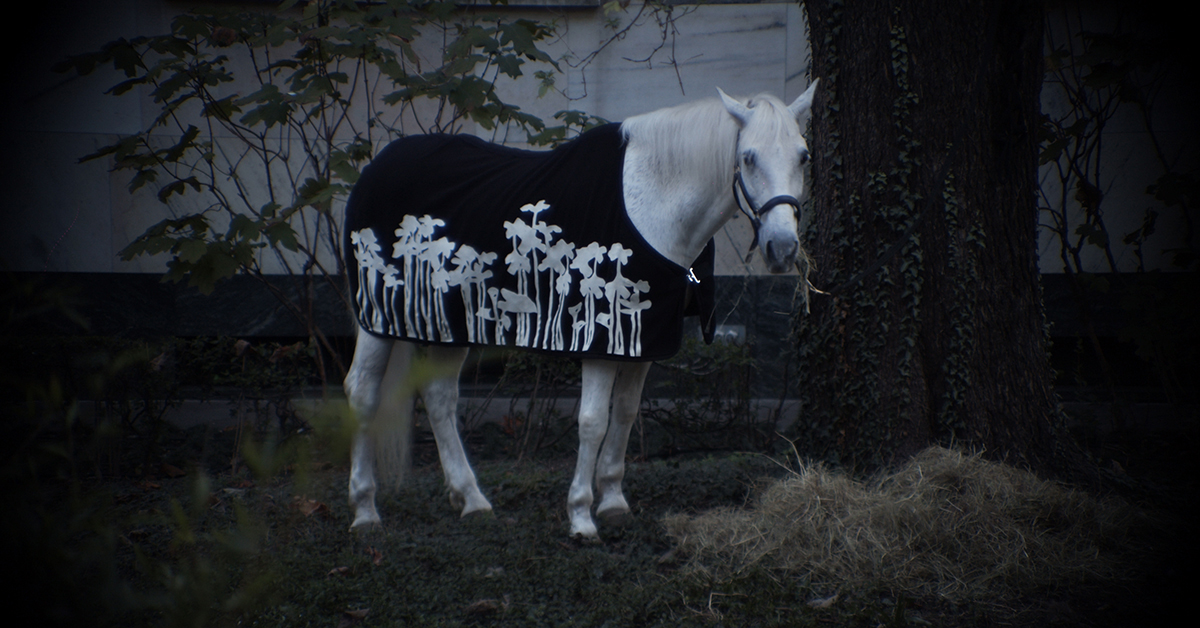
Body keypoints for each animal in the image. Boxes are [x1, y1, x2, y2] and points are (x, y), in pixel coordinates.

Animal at [343, 81, 820, 537]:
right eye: (748, 158)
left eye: (803, 156)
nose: (781, 248)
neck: (652, 206)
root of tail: (375, 167)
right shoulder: (602, 343)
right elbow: (592, 420)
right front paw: (580, 516)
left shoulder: (642, 340)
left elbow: (625, 413)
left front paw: (612, 501)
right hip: (377, 321)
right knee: (363, 393)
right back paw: (364, 510)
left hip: (452, 324)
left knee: (440, 397)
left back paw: (472, 499)